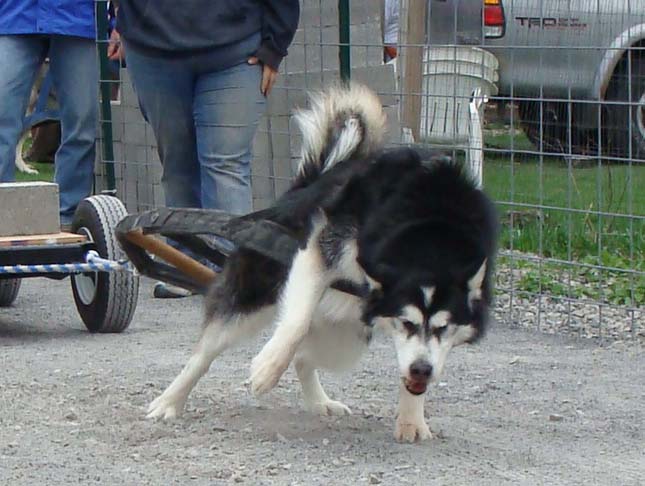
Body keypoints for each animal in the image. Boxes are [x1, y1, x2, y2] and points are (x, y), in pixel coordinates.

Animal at [147, 84, 498, 444]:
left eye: (444, 327)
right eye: (406, 322)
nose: (422, 370)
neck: (433, 223)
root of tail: (309, 183)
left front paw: (412, 418)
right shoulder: (319, 250)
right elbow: (296, 323)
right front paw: (267, 369)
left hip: (346, 336)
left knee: (305, 358)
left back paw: (320, 402)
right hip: (257, 300)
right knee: (203, 355)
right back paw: (169, 401)